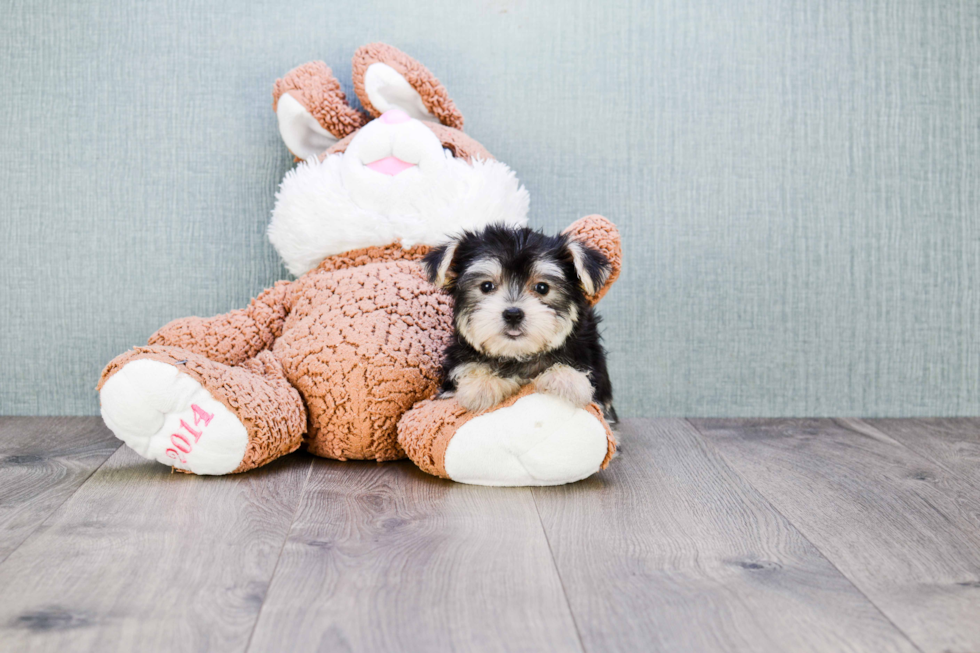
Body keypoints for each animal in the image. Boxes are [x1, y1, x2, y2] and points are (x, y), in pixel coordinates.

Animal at [424, 223, 616, 418]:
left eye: (542, 287)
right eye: (486, 286)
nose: (513, 314)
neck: (518, 356)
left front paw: (567, 378)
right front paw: (482, 383)